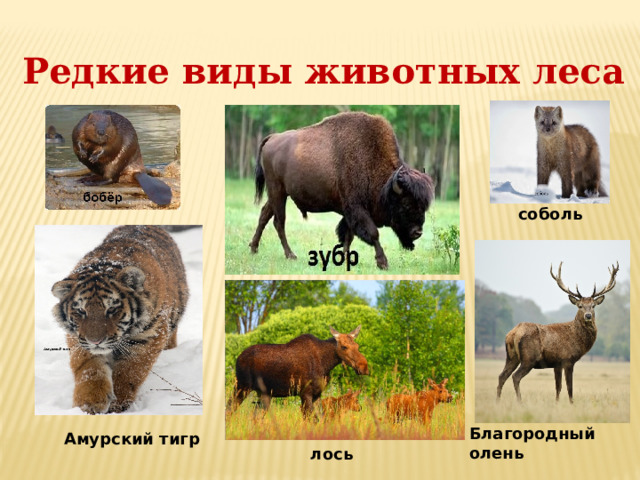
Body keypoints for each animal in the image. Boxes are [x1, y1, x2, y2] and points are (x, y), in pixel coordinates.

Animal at [51, 225, 189, 414]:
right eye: (81, 311)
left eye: (112, 309)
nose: (95, 341)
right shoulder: (79, 339)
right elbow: (90, 370)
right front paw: (88, 404)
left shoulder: (150, 336)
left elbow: (129, 372)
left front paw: (117, 405)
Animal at [497, 261, 619, 403]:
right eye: (580, 306)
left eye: (593, 306)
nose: (588, 316)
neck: (577, 338)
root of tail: (513, 333)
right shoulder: (568, 359)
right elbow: (569, 387)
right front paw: (572, 403)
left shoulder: (557, 364)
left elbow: (558, 387)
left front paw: (557, 403)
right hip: (528, 358)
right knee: (515, 377)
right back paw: (520, 402)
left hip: (511, 356)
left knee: (502, 376)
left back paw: (497, 401)